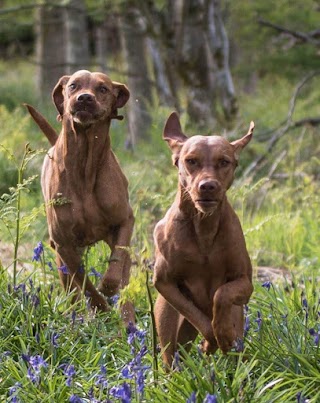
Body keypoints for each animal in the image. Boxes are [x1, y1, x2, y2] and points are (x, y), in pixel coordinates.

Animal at [25, 70, 134, 326]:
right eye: (73, 85)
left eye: (103, 89)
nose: (84, 98)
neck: (85, 164)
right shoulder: (63, 243)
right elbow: (84, 282)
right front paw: (101, 309)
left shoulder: (125, 221)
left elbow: (116, 264)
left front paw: (109, 287)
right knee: (71, 287)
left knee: (124, 273)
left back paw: (129, 323)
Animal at [153, 112, 255, 368]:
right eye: (191, 161)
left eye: (224, 162)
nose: (208, 186)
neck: (203, 227)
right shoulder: (163, 282)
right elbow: (201, 321)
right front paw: (211, 341)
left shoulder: (244, 282)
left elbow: (222, 295)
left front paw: (222, 334)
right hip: (169, 330)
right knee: (171, 357)